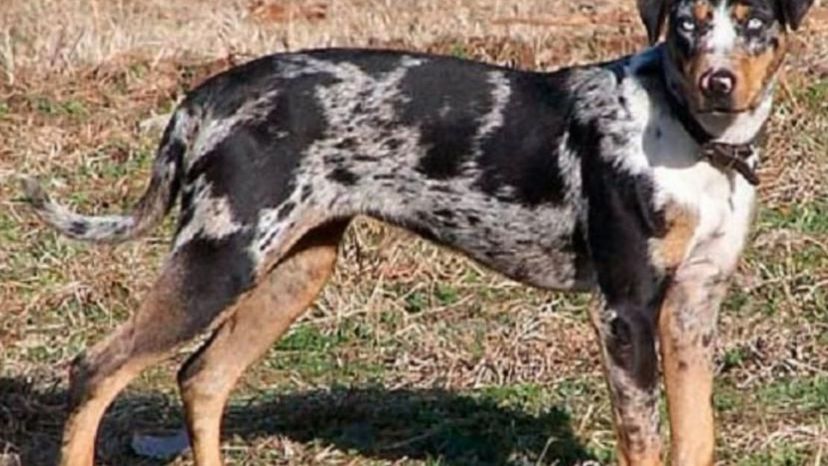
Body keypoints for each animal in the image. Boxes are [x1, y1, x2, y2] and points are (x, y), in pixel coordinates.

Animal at [21, 0, 816, 464]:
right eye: (686, 22)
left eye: (754, 21)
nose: (718, 81)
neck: (694, 140)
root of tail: (202, 98)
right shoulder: (626, 311)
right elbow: (646, 439)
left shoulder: (693, 310)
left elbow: (697, 436)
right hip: (221, 261)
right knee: (95, 369)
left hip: (294, 270)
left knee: (201, 377)